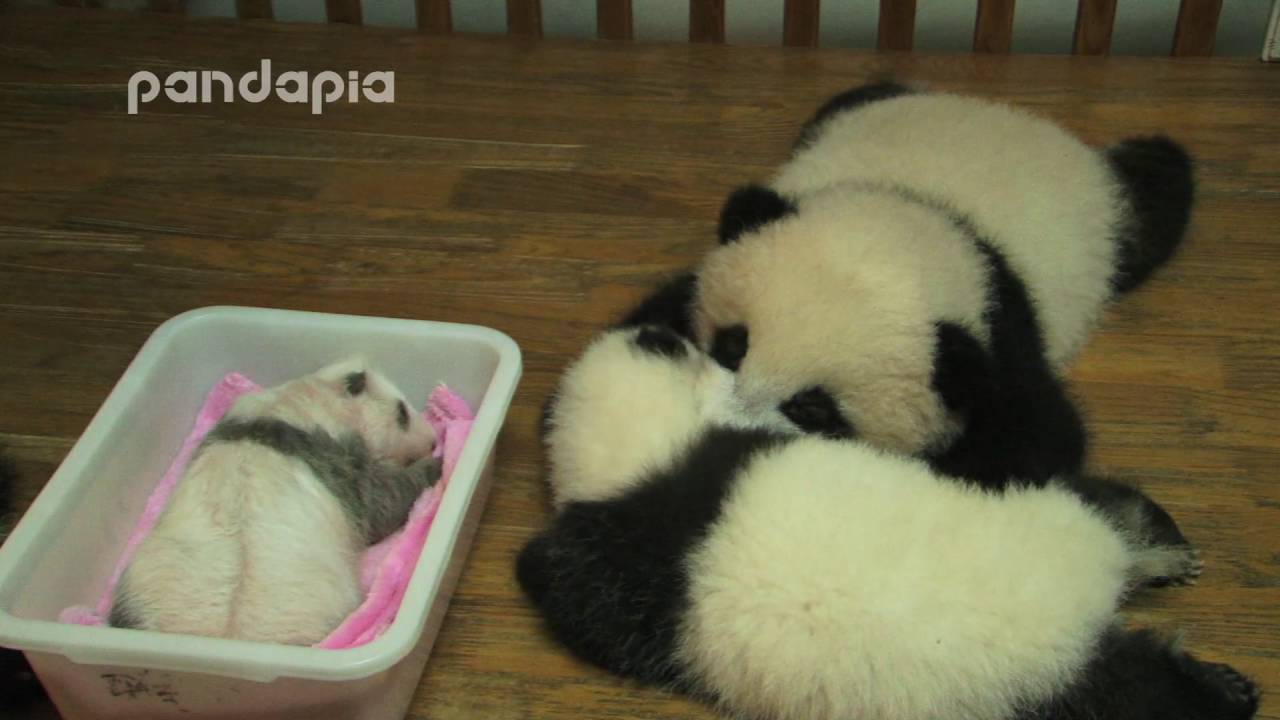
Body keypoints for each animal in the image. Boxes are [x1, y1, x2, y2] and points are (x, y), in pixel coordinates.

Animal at [110, 358, 440, 645]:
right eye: (402, 412)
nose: (433, 440)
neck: (301, 398)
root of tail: (228, 639)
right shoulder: (340, 459)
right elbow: (380, 505)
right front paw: (435, 468)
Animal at [522, 326, 1259, 720]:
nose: (724, 356)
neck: (652, 452)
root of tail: (1092, 599)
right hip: (1040, 625)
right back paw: (1171, 576)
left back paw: (1218, 673)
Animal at [624, 82, 1195, 489]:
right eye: (733, 345)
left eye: (814, 408)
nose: (723, 429)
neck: (921, 215)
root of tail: (1016, 116)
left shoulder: (1000, 339)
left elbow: (1036, 442)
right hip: (853, 110)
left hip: (1112, 222)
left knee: (1154, 195)